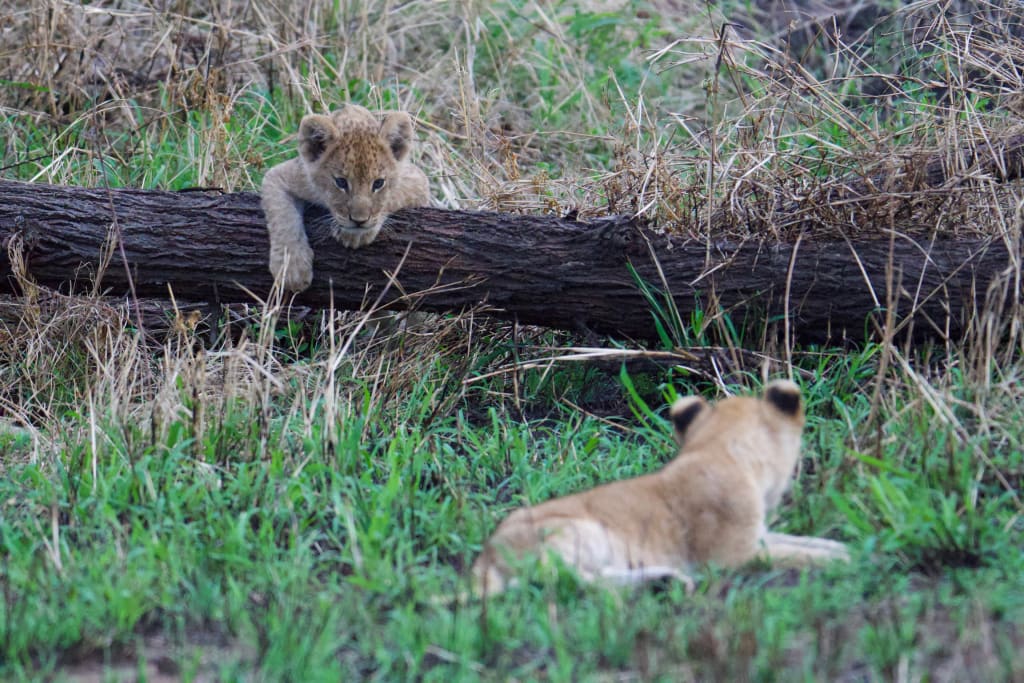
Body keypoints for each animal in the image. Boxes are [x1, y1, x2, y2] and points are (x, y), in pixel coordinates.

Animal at [261, 104, 430, 292]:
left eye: (378, 183)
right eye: (341, 182)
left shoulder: (418, 180)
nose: (359, 221)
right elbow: (283, 218)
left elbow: (391, 198)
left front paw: (356, 235)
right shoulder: (280, 175)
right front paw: (291, 269)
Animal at [471, 380, 850, 598]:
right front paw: (844, 559)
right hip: (581, 531)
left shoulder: (757, 536)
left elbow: (802, 541)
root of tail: (486, 555)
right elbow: (792, 553)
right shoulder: (731, 555)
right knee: (556, 578)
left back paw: (666, 581)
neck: (718, 448)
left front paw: (842, 547)